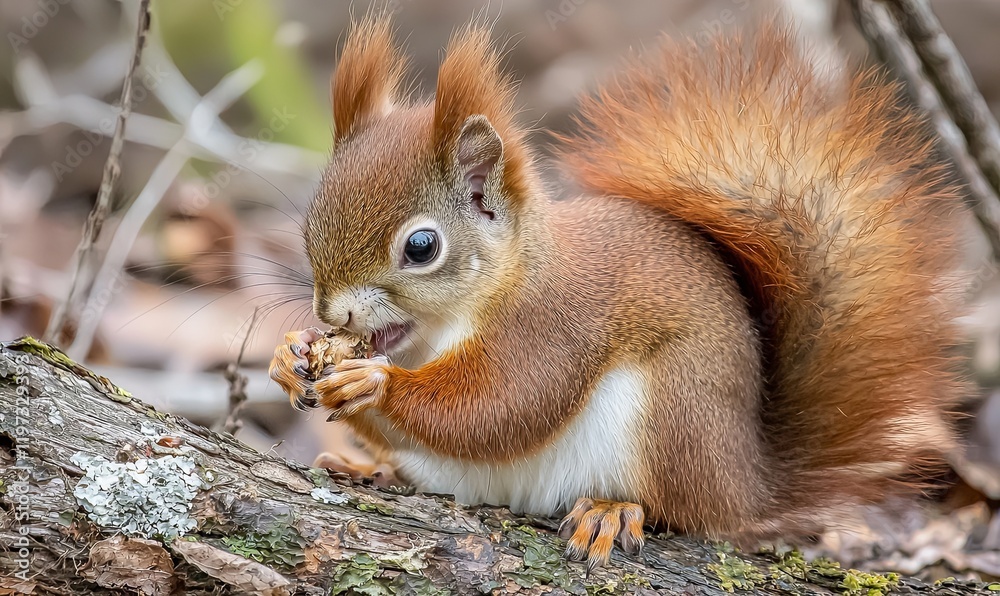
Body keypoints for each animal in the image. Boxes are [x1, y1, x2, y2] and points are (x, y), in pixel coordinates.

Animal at [269, 14, 970, 570]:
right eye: (311, 217)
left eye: (421, 247)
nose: (329, 311)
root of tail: (747, 480)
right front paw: (290, 355)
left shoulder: (552, 324)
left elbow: (502, 405)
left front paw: (374, 382)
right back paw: (367, 466)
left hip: (672, 415)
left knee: (677, 510)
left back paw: (612, 509)